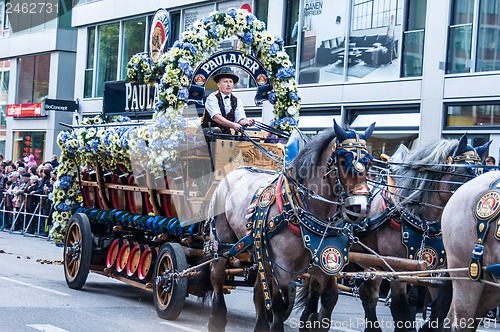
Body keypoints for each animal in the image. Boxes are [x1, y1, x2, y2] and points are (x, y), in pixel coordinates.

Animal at [204, 121, 376, 332]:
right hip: (222, 241)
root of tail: (234, 172)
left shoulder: (325, 263)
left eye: (369, 163)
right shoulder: (283, 266)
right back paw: (217, 318)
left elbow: (330, 297)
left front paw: (315, 322)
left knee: (259, 289)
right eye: (344, 161)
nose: (360, 208)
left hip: (261, 252)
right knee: (217, 275)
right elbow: (280, 302)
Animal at [296, 134, 488, 330]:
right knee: (317, 286)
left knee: (367, 293)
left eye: (480, 172)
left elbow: (439, 311)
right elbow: (401, 311)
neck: (419, 218)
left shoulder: (439, 270)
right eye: (465, 172)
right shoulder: (397, 270)